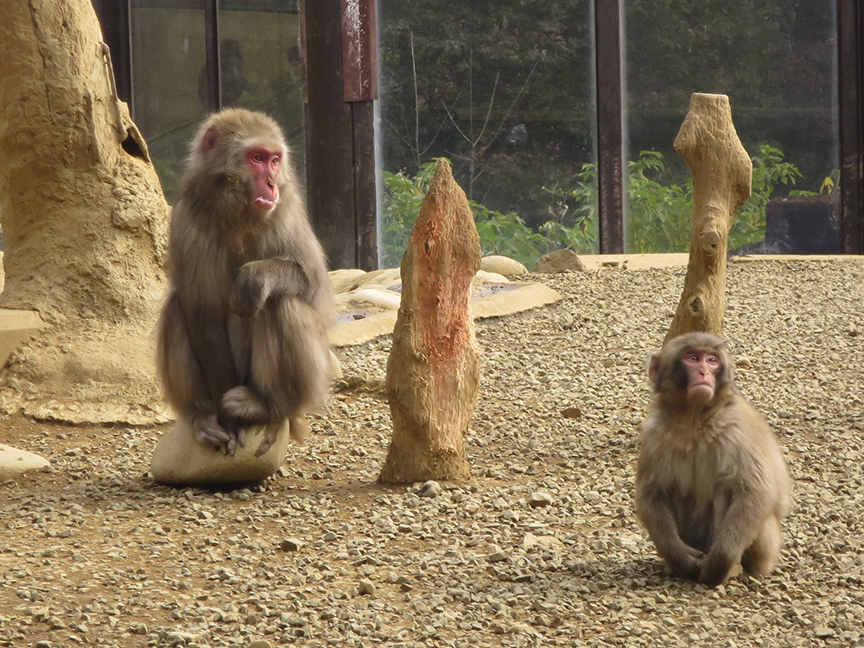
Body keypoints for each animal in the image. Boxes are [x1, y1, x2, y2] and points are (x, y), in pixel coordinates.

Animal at [156, 107, 332, 455]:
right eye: (257, 158)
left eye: (275, 160)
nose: (271, 183)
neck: (236, 212)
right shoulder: (185, 218)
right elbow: (203, 316)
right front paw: (228, 424)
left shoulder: (286, 209)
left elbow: (313, 282)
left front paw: (253, 278)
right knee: (176, 307)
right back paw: (202, 415)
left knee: (283, 302)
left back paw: (268, 405)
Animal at [635, 332, 792, 587]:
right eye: (692, 358)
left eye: (712, 360)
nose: (703, 372)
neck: (694, 419)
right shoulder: (653, 434)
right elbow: (653, 494)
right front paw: (679, 558)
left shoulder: (739, 428)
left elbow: (755, 491)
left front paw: (720, 562)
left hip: (767, 548)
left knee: (725, 489)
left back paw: (732, 568)